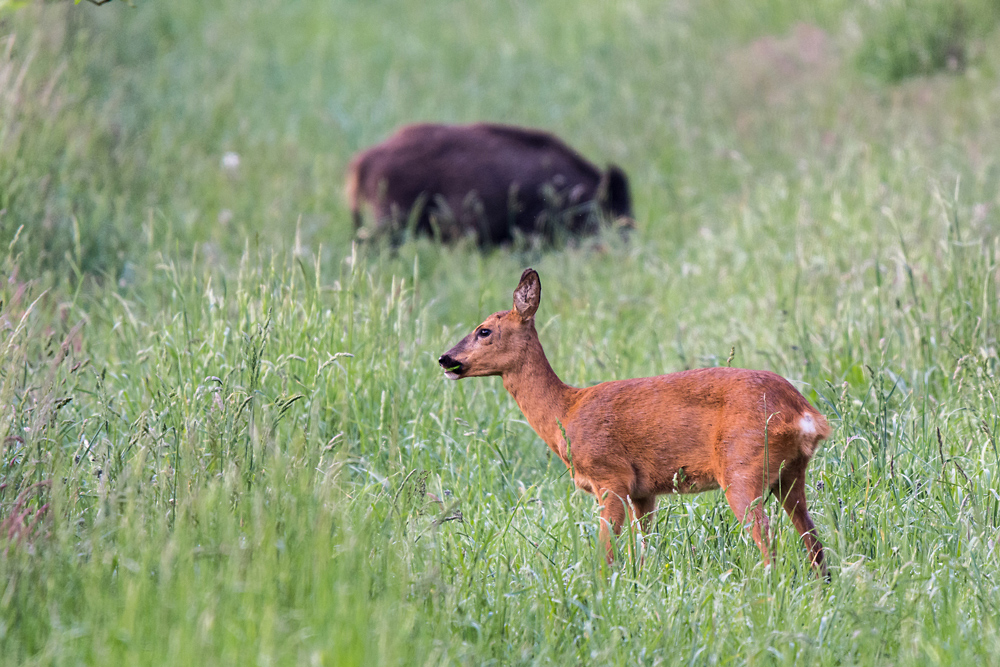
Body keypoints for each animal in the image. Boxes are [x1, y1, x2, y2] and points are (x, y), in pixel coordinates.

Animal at [442, 268, 832, 576]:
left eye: (483, 331)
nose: (445, 359)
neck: (565, 413)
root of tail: (804, 414)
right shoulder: (644, 491)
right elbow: (643, 550)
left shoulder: (610, 476)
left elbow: (606, 555)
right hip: (790, 474)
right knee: (814, 544)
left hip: (742, 468)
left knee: (771, 546)